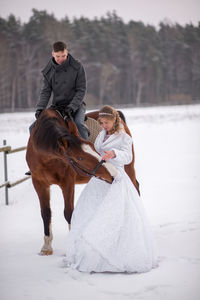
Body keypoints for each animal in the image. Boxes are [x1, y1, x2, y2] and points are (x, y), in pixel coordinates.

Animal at [26, 109, 117, 254]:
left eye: (93, 147)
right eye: (79, 158)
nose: (113, 172)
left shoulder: (67, 183)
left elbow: (69, 213)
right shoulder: (39, 184)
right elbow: (46, 213)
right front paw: (46, 247)